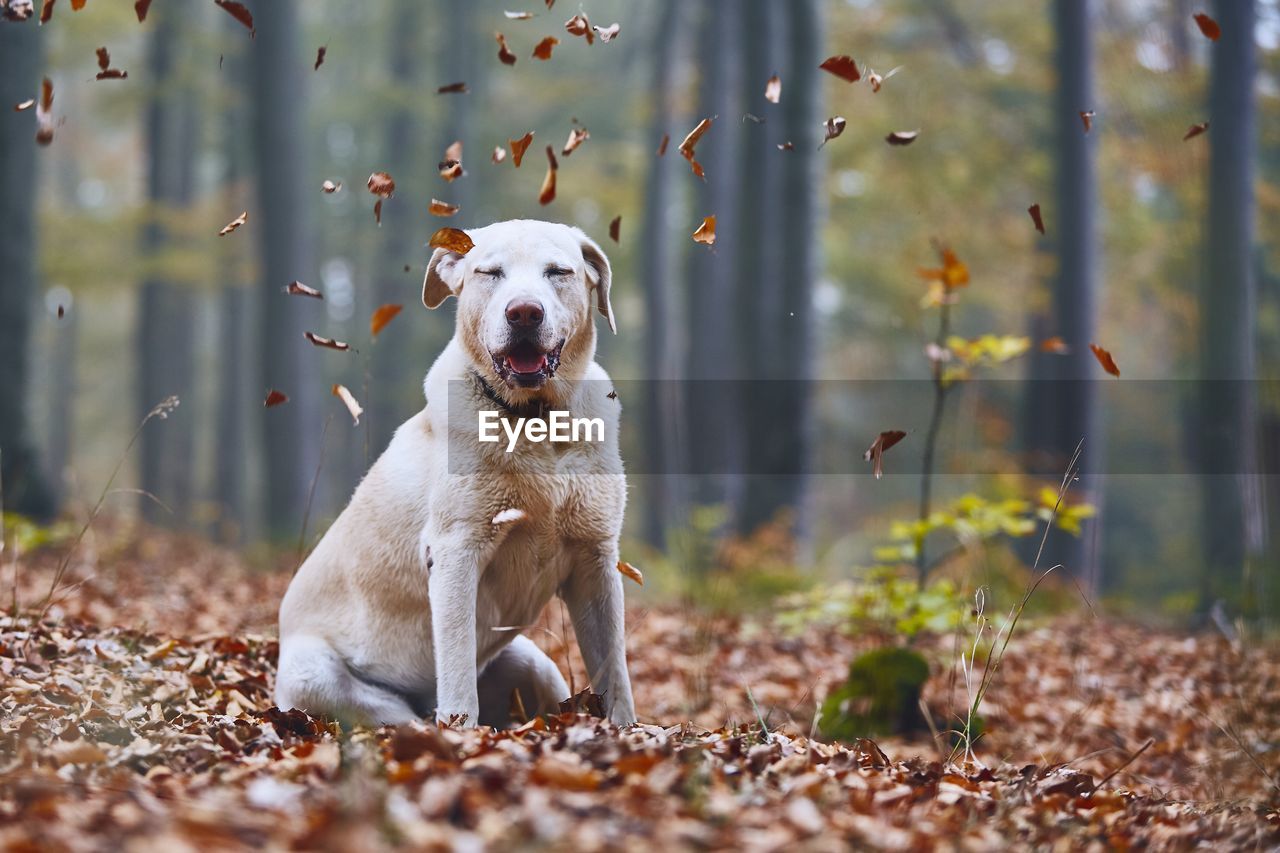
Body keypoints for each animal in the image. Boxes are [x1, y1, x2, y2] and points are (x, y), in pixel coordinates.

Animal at [281, 217, 640, 722]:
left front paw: (626, 731)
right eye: (489, 273)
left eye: (558, 272)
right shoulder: (455, 553)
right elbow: (457, 672)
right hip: (319, 678)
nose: (524, 313)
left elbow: (615, 673)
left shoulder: (596, 561)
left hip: (536, 664)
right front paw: (461, 734)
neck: (535, 421)